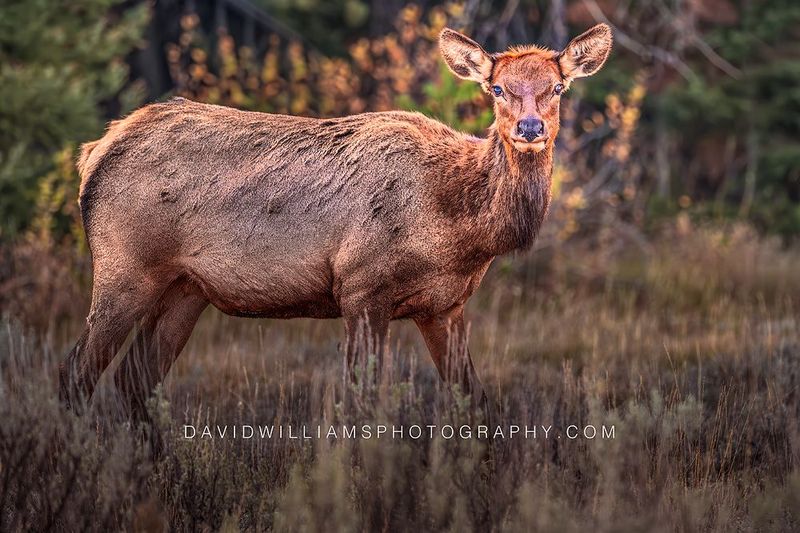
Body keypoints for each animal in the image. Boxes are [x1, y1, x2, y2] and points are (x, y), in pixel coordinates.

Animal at [60, 24, 612, 419]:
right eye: (496, 88)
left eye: (557, 85)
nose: (530, 128)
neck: (460, 232)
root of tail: (93, 153)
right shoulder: (362, 288)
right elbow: (362, 404)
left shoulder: (445, 308)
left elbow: (474, 402)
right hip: (124, 270)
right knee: (75, 376)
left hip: (185, 289)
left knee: (134, 380)